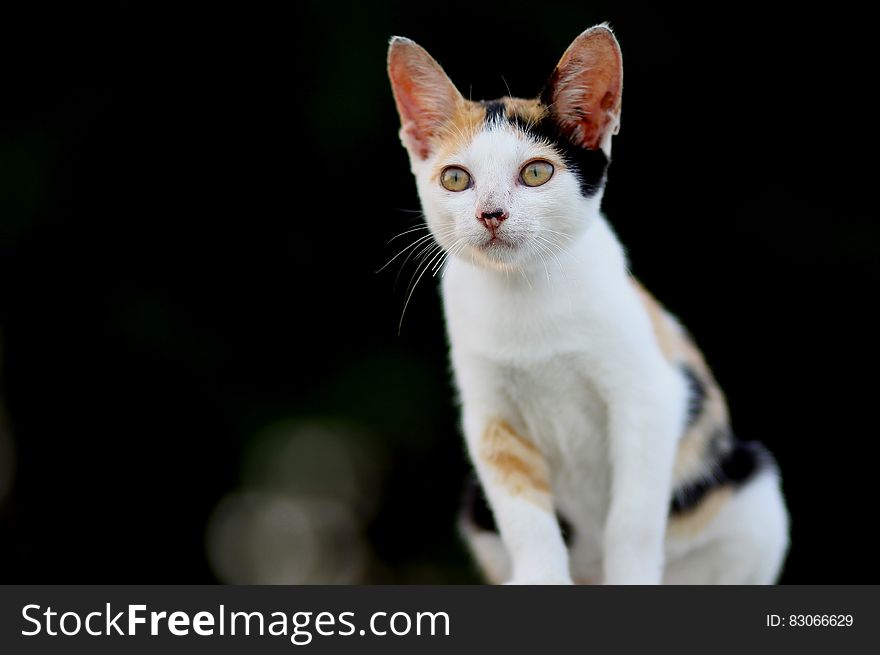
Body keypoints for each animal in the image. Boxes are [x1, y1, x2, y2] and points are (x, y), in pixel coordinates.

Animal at [388, 24, 788, 584]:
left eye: (536, 173)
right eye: (455, 179)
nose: (491, 213)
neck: (526, 293)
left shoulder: (650, 396)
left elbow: (633, 517)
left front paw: (631, 573)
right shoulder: (491, 422)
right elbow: (526, 519)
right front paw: (540, 576)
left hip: (750, 489)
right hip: (474, 507)